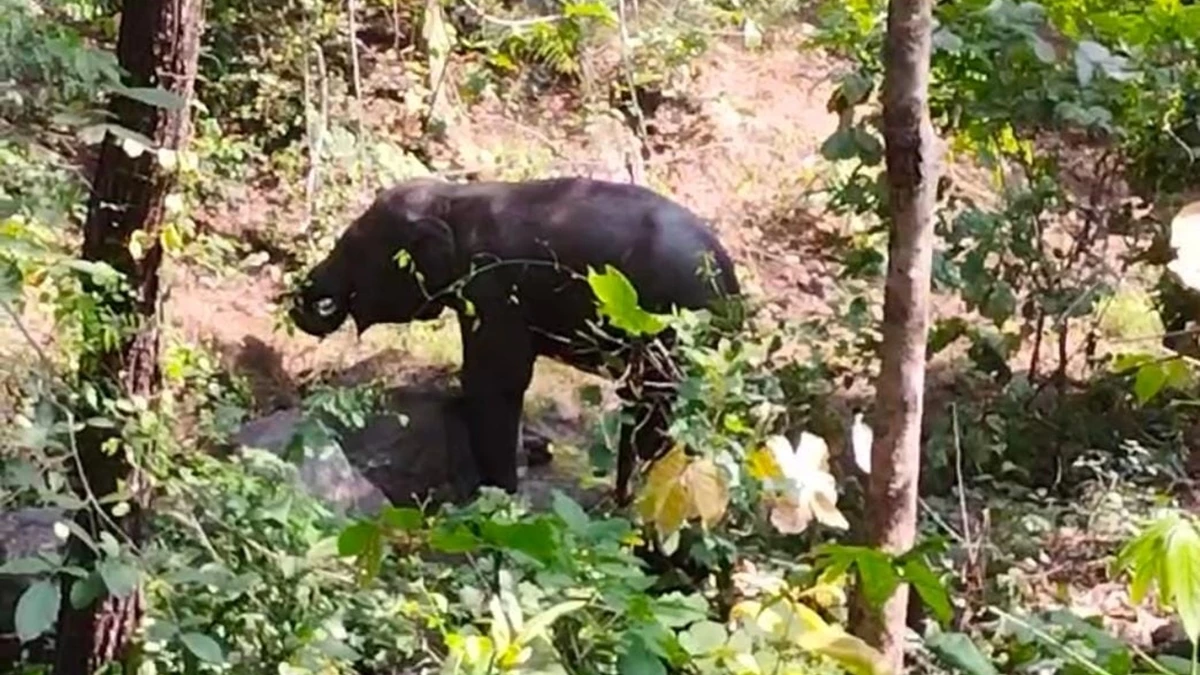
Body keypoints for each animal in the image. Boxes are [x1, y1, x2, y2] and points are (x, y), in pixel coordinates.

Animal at [289, 172, 739, 499]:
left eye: (353, 246)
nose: (304, 299)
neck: (453, 197)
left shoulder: (493, 290)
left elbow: (494, 382)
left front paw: (497, 497)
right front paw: (532, 455)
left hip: (669, 331)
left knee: (654, 409)